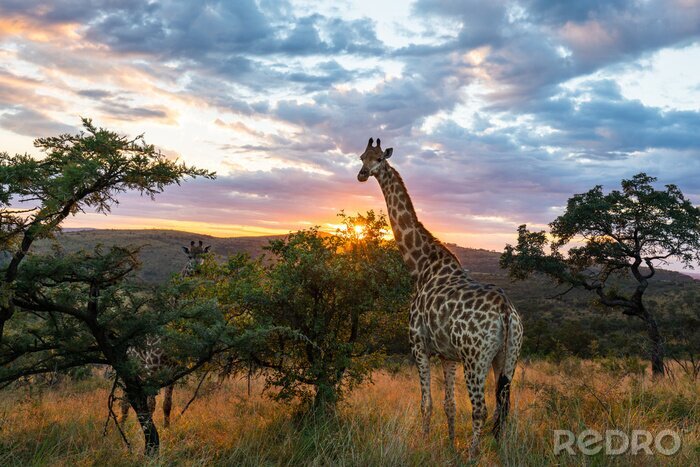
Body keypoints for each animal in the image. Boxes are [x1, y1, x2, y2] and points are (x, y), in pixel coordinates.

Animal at [119, 240, 211, 428]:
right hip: (130, 370)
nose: (198, 270)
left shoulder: (174, 370)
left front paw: (167, 429)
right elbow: (151, 405)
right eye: (189, 256)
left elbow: (167, 404)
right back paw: (122, 427)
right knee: (125, 402)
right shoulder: (153, 368)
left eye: (203, 255)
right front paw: (148, 431)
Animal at [357, 138, 523, 455]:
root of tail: (506, 312)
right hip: (507, 357)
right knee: (504, 405)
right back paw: (501, 451)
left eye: (379, 159)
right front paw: (448, 445)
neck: (420, 267)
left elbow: (427, 403)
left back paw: (473, 454)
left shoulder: (418, 345)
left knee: (481, 409)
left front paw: (423, 444)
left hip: (475, 358)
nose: (361, 174)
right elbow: (449, 405)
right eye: (361, 157)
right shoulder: (448, 355)